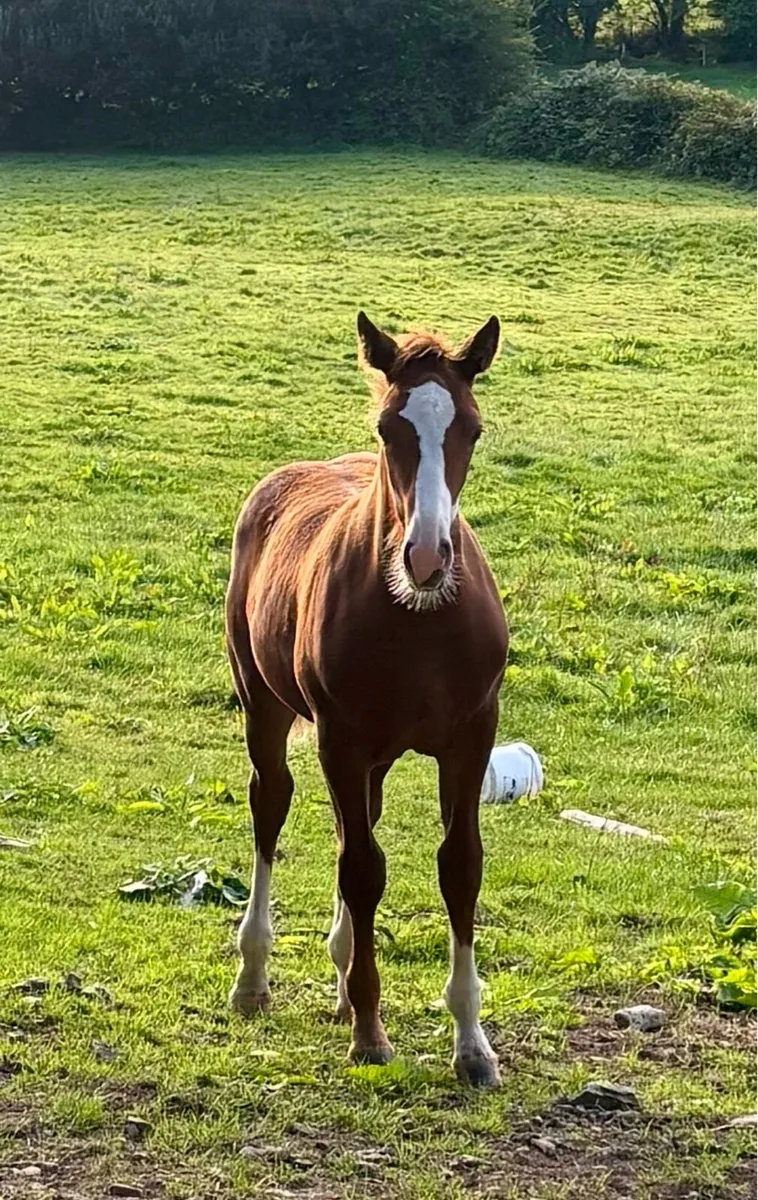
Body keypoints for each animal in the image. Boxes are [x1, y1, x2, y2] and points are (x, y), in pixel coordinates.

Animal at [225, 312, 509, 1087]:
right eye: (389, 428)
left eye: (472, 428)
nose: (427, 558)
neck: (418, 619)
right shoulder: (341, 738)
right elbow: (363, 868)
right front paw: (371, 1032)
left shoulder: (472, 736)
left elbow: (458, 866)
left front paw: (472, 1044)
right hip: (265, 706)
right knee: (272, 807)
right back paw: (255, 978)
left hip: (374, 756)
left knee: (354, 827)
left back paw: (343, 975)